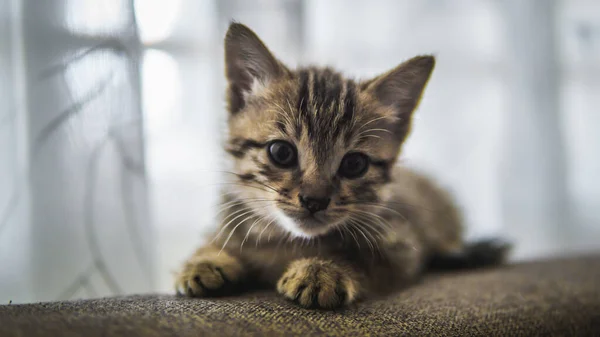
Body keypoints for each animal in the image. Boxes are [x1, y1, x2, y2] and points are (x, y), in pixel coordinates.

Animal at [176, 22, 508, 308]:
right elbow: (218, 239)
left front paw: (323, 269)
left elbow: (364, 258)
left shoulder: (402, 246)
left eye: (354, 164)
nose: (315, 200)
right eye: (281, 152)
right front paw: (206, 260)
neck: (287, 241)